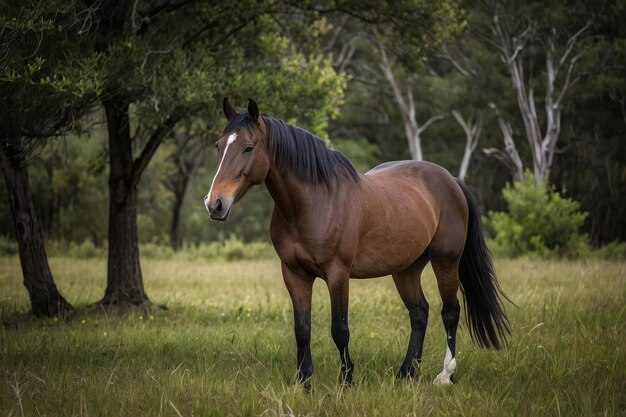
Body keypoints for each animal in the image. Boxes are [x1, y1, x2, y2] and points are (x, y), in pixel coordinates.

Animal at [205, 98, 508, 386]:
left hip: (446, 261)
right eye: (219, 146)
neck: (314, 204)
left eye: (248, 148)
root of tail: (451, 180)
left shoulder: (338, 274)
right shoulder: (294, 273)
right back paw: (407, 373)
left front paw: (347, 381)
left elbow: (340, 330)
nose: (214, 203)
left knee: (450, 312)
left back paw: (445, 376)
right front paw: (304, 382)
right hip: (406, 268)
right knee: (420, 312)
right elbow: (302, 329)